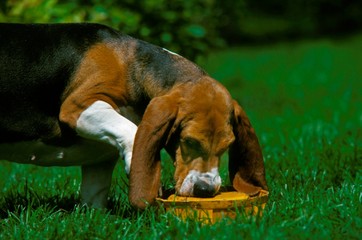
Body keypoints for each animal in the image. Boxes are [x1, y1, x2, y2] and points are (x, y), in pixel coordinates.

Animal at [0, 23, 266, 209]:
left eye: (228, 146)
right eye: (189, 141)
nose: (205, 189)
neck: (133, 64)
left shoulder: (99, 162)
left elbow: (93, 200)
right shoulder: (78, 107)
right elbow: (132, 130)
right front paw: (137, 167)